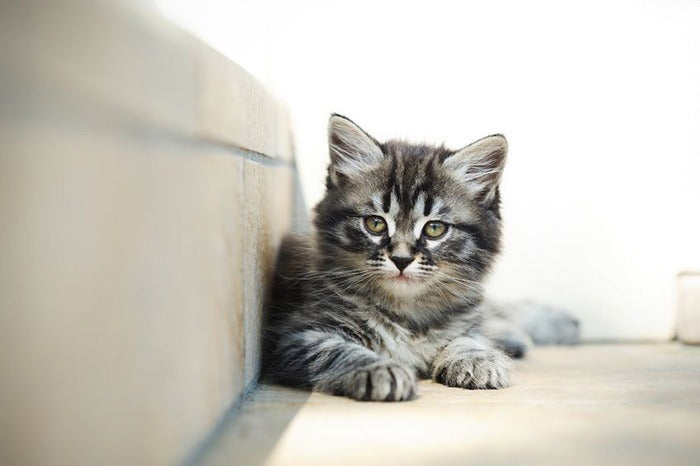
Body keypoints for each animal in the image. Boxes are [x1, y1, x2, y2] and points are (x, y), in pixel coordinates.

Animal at [266, 115, 576, 400]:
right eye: (375, 224)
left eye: (435, 229)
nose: (402, 259)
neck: (406, 313)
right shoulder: (299, 335)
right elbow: (338, 351)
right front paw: (379, 369)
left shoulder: (465, 317)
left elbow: (469, 337)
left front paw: (477, 358)